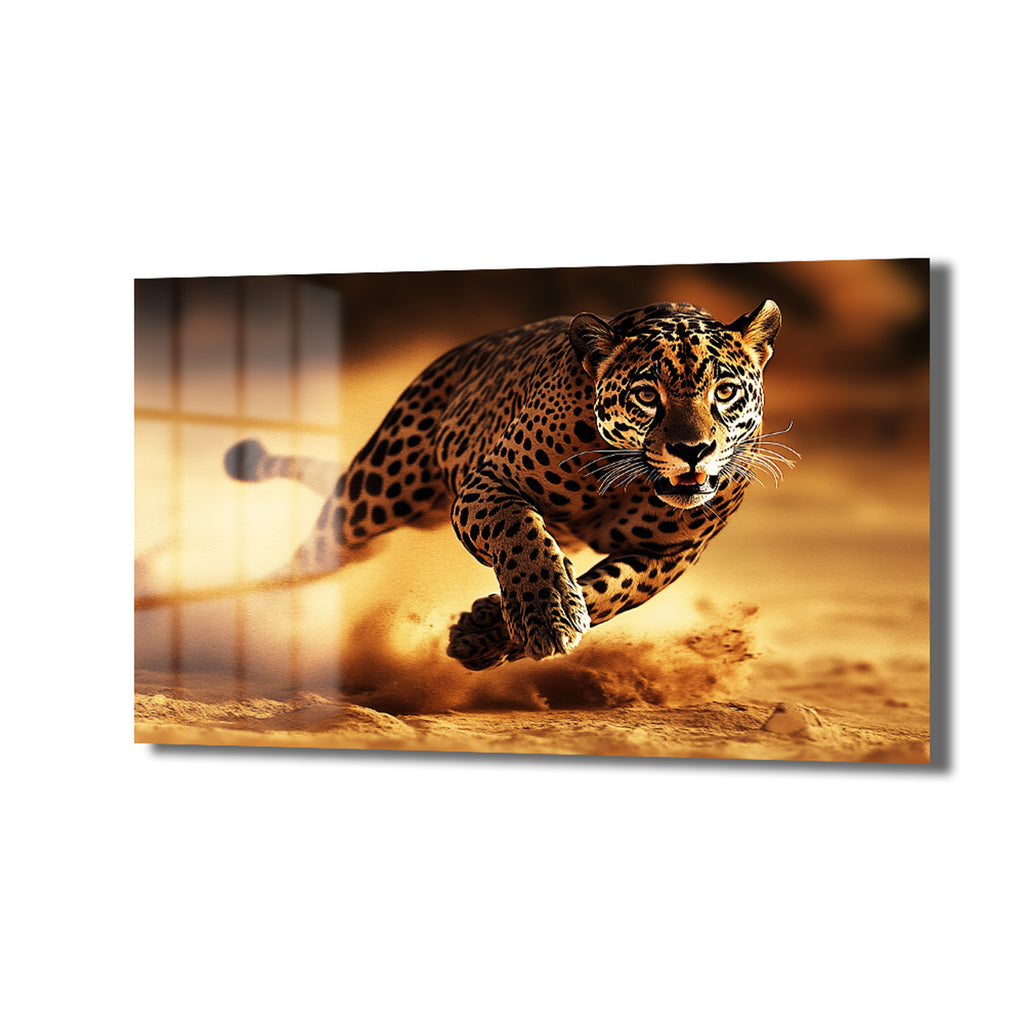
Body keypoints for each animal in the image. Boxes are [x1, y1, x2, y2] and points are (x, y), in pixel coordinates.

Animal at [224, 299, 793, 671]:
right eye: (647, 395)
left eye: (724, 391)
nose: (692, 450)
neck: (624, 485)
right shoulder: (489, 482)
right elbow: (521, 531)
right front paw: (546, 612)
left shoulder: (669, 552)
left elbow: (609, 592)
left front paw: (484, 634)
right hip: (375, 493)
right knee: (311, 557)